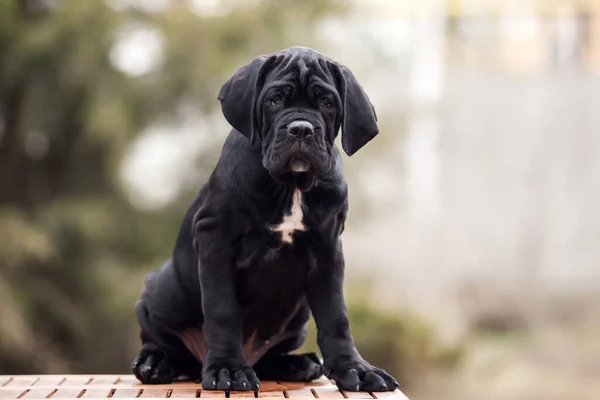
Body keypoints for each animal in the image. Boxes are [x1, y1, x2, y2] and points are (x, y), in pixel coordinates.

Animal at [132, 45, 398, 392]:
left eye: (327, 103)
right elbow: (222, 309)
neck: (292, 185)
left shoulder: (328, 249)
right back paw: (156, 363)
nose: (301, 129)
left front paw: (355, 368)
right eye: (274, 99)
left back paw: (298, 364)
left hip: (298, 317)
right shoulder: (215, 239)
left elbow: (336, 315)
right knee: (159, 337)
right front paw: (228, 368)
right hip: (163, 289)